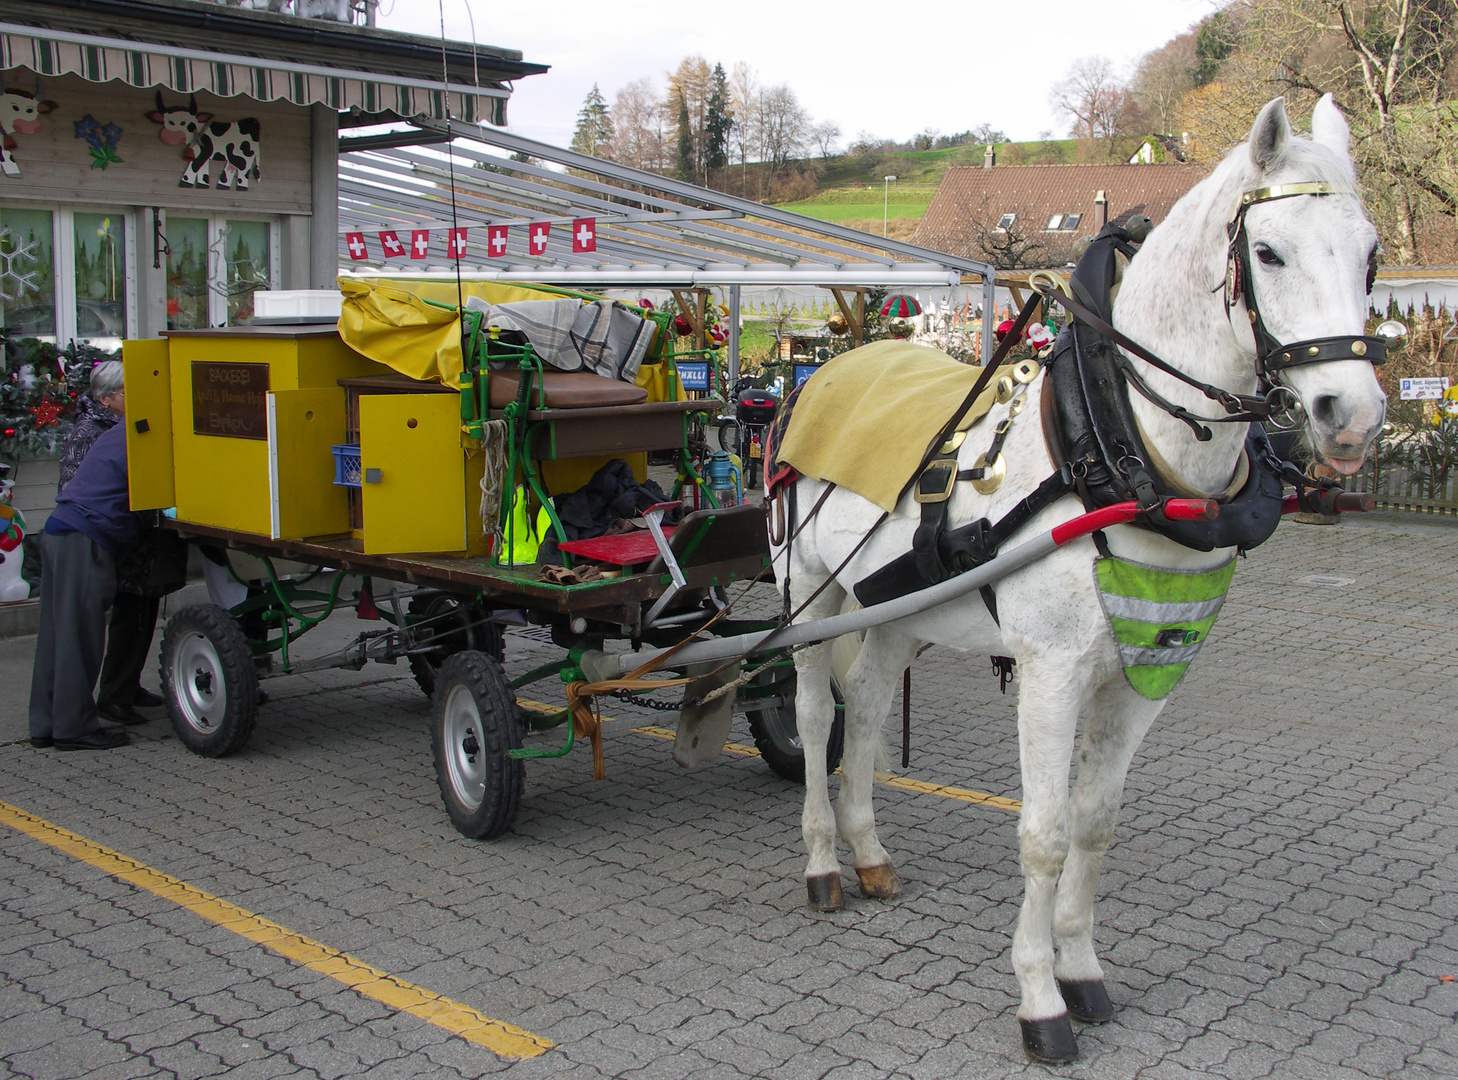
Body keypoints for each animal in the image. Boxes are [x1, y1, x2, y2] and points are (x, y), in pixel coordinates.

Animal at [775, 96, 1388, 1066]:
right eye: (1269, 254)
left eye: (1369, 254)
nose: (1352, 417)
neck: (1117, 446)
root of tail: (826, 366)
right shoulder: (1054, 672)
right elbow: (1046, 832)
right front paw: (1038, 999)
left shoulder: (1147, 670)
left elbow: (1096, 825)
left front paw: (1082, 969)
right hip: (812, 594)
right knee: (812, 714)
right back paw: (824, 861)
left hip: (904, 605)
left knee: (866, 707)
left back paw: (868, 852)